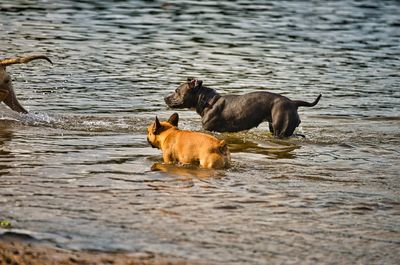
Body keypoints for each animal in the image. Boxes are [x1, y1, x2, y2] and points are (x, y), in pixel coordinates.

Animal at [164, 77, 320, 137]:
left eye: (177, 90)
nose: (164, 98)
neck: (208, 101)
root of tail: (293, 102)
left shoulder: (209, 129)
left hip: (280, 129)